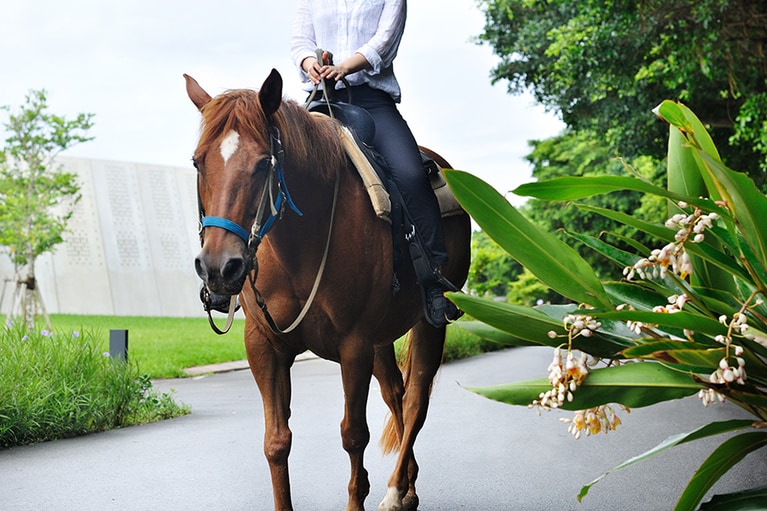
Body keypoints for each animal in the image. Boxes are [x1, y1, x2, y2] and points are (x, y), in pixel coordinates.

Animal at [185, 69, 471, 511]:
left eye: (263, 164)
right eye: (198, 162)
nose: (219, 266)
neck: (301, 244)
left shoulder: (353, 346)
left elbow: (354, 435)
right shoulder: (264, 345)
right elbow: (276, 442)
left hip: (427, 324)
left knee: (415, 402)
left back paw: (395, 489)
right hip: (380, 340)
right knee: (395, 394)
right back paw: (406, 486)